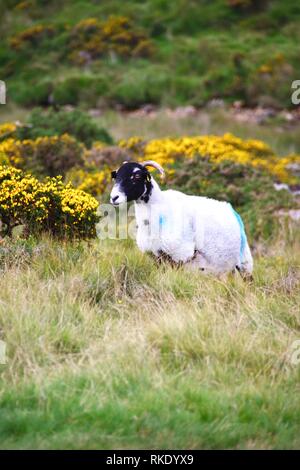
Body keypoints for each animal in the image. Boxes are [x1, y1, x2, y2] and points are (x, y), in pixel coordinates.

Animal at [109, 160, 253, 278]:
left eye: (137, 176)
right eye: (116, 176)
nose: (114, 197)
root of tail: (230, 208)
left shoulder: (180, 255)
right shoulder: (156, 255)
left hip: (245, 262)